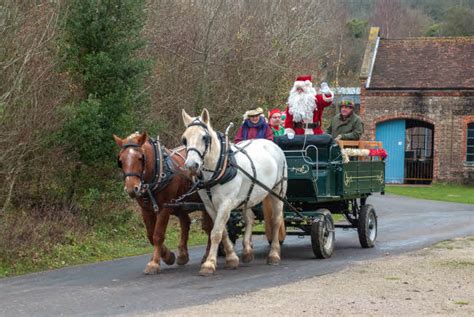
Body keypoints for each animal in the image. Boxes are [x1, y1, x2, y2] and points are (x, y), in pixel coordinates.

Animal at [113, 131, 211, 274]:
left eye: (140, 158)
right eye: (120, 161)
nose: (131, 189)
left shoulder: (165, 207)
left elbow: (158, 235)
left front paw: (154, 263)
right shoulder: (146, 209)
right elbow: (150, 235)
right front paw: (167, 256)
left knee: (210, 226)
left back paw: (208, 254)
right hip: (179, 204)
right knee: (186, 223)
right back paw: (183, 255)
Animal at [181, 108, 286, 274]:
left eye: (204, 137)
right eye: (184, 140)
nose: (191, 165)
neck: (219, 168)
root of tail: (271, 143)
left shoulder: (225, 203)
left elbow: (216, 232)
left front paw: (209, 263)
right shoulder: (210, 206)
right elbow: (222, 232)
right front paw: (231, 258)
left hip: (278, 191)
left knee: (276, 220)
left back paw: (274, 254)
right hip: (249, 195)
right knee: (249, 218)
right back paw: (247, 251)